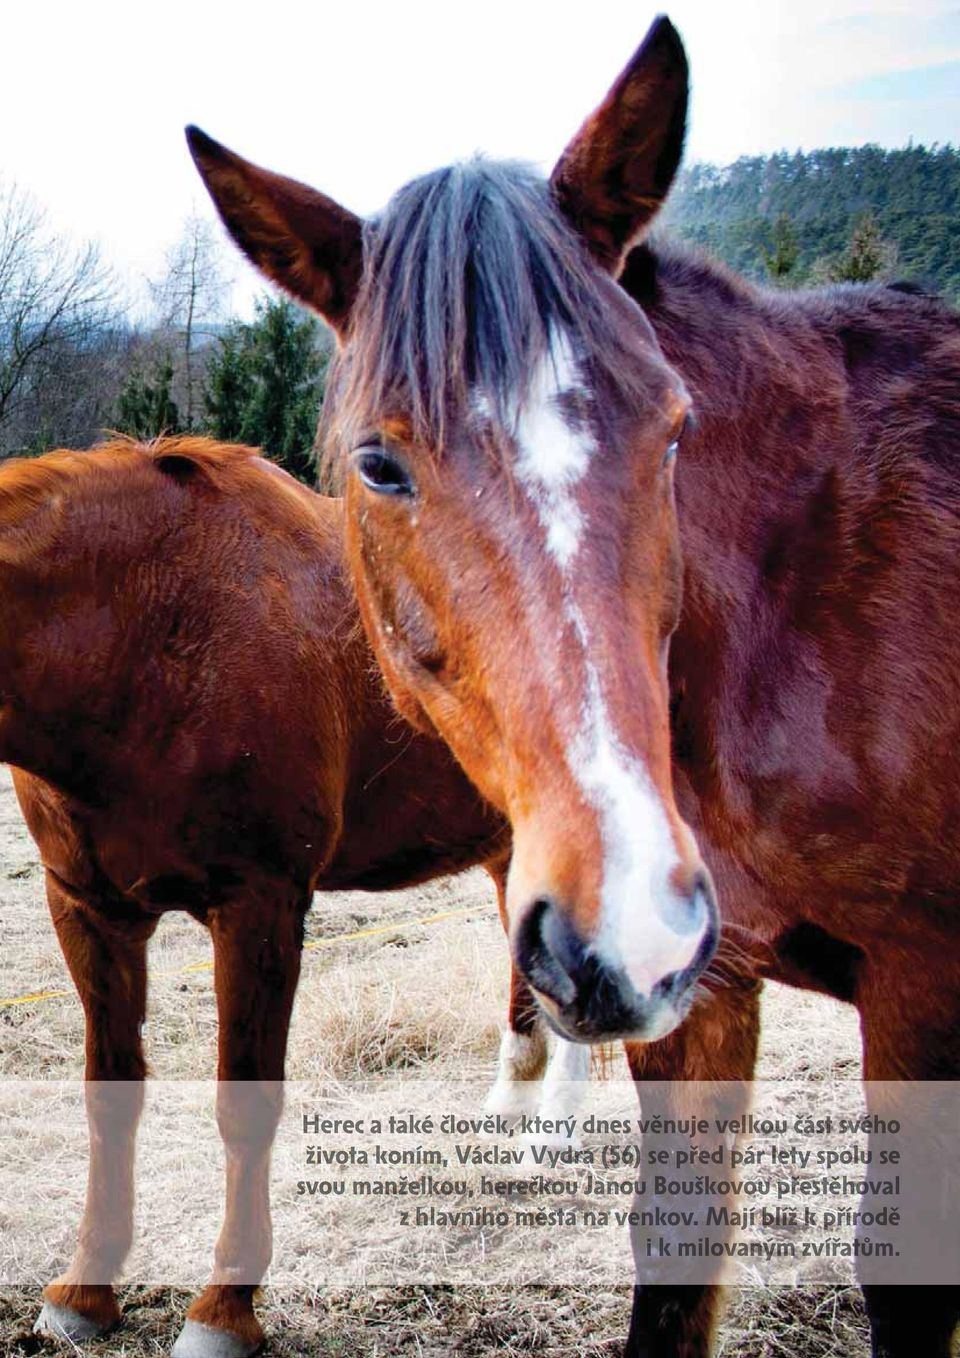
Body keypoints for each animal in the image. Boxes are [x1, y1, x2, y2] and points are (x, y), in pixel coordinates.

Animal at [0, 437, 562, 1358]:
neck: (143, 634)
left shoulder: (259, 909)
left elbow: (245, 1105)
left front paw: (224, 1311)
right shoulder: (89, 911)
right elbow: (108, 1097)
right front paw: (86, 1291)